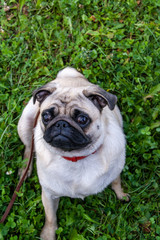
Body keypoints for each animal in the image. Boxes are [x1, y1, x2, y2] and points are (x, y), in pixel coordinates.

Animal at [17, 67, 128, 240]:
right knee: (29, 147)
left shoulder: (116, 170)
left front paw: (121, 195)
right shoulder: (49, 194)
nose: (61, 124)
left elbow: (116, 182)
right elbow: (50, 217)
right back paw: (24, 170)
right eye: (46, 116)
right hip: (24, 124)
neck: (76, 157)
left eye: (82, 119)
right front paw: (48, 234)